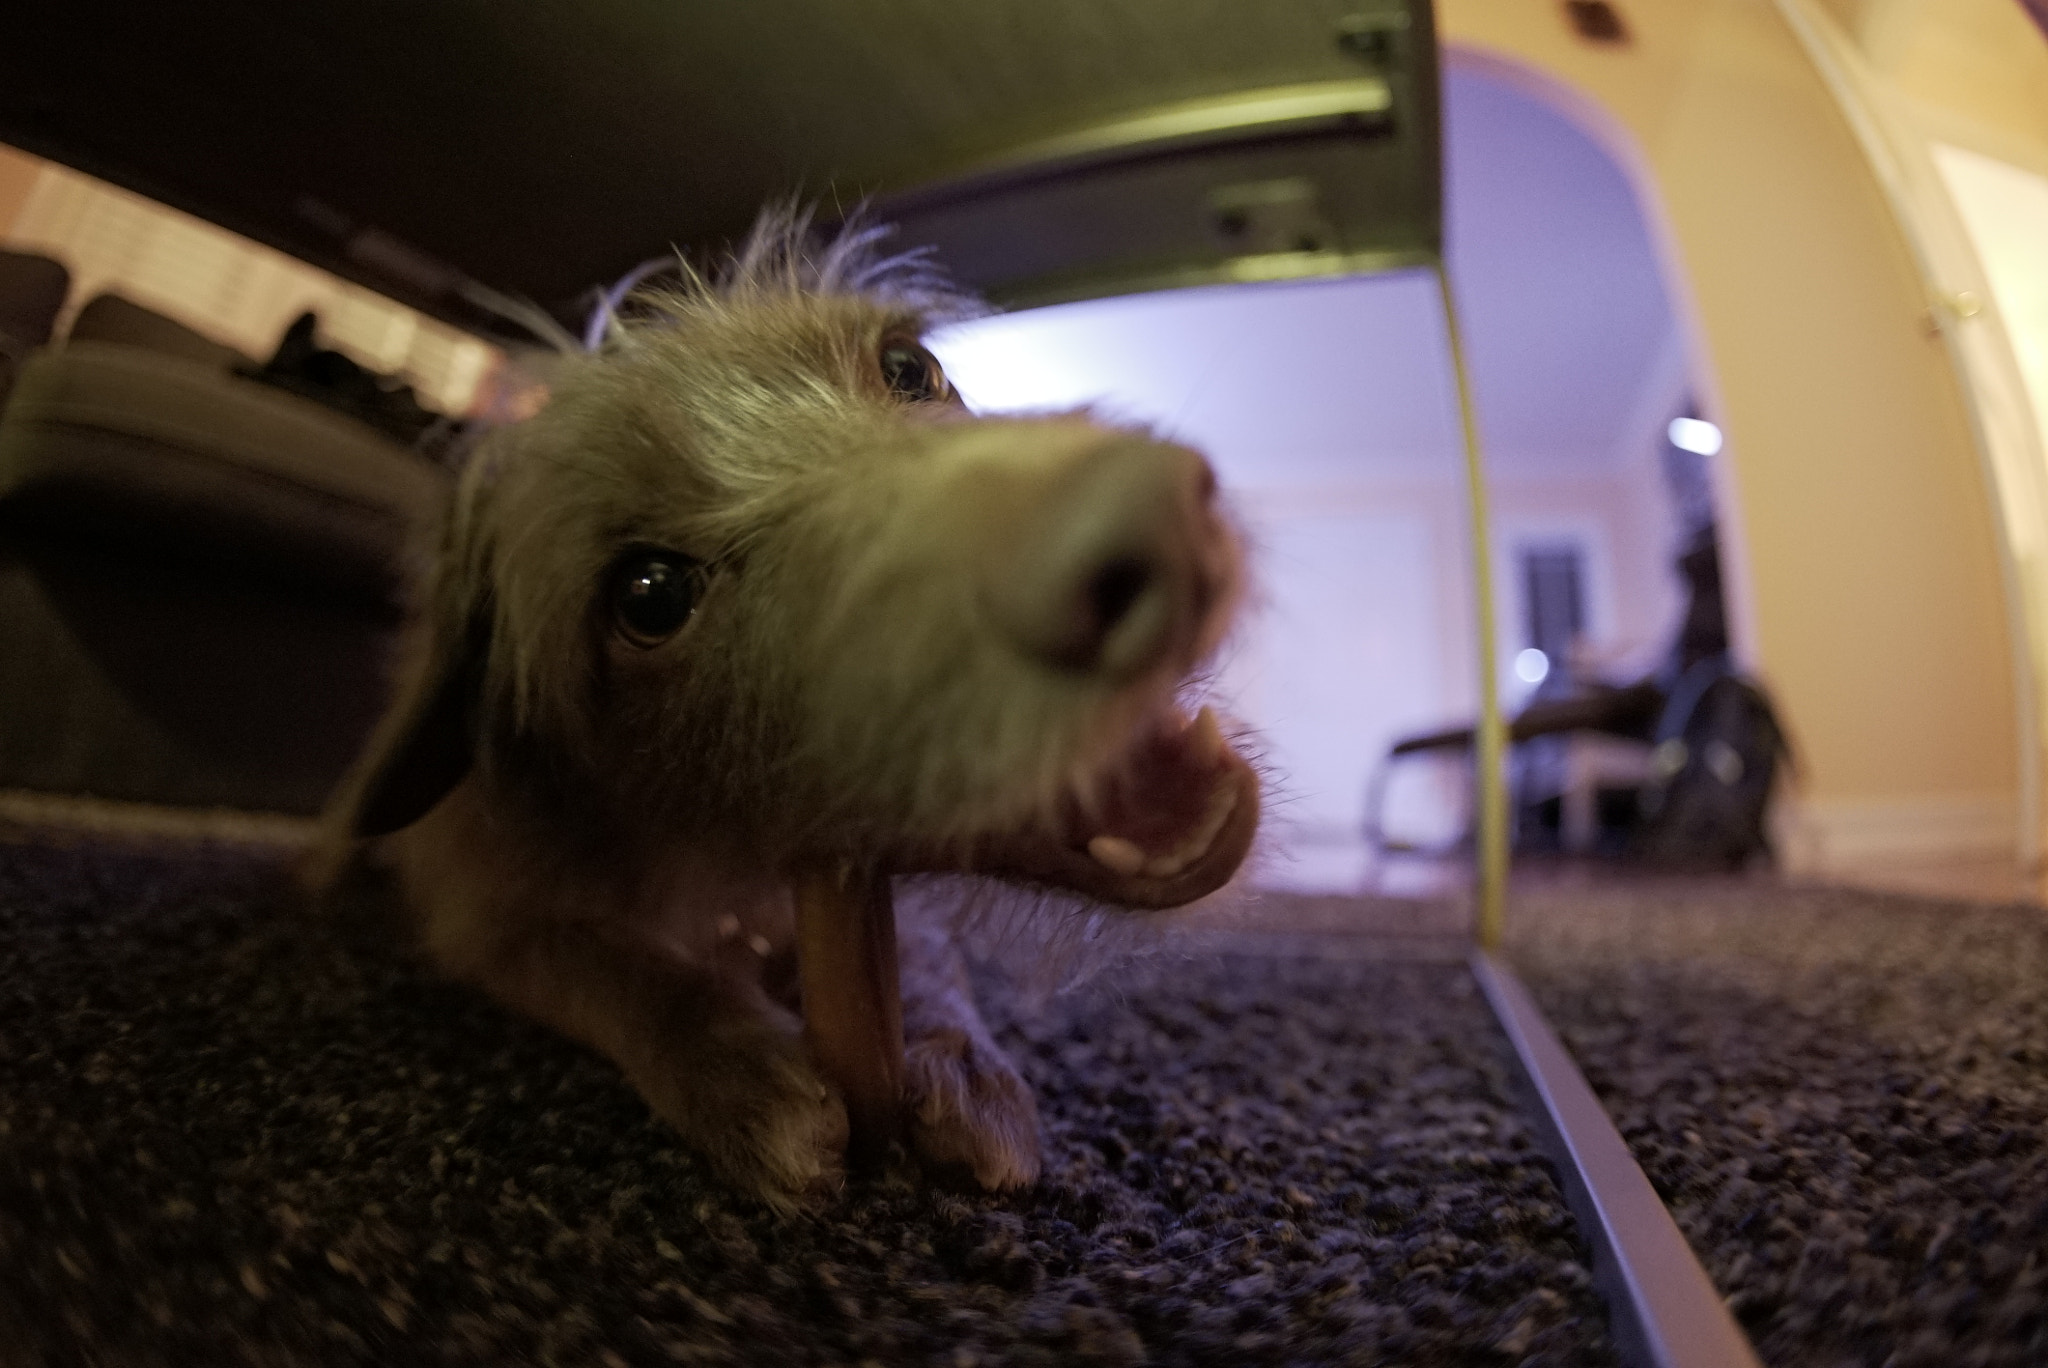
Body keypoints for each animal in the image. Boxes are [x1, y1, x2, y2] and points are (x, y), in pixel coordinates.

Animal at [315, 219, 1261, 1212]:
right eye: (649, 594)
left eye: (910, 366)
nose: (1162, 512)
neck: (730, 874)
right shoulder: (482, 909)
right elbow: (606, 962)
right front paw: (736, 1068)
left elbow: (929, 967)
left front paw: (960, 1063)